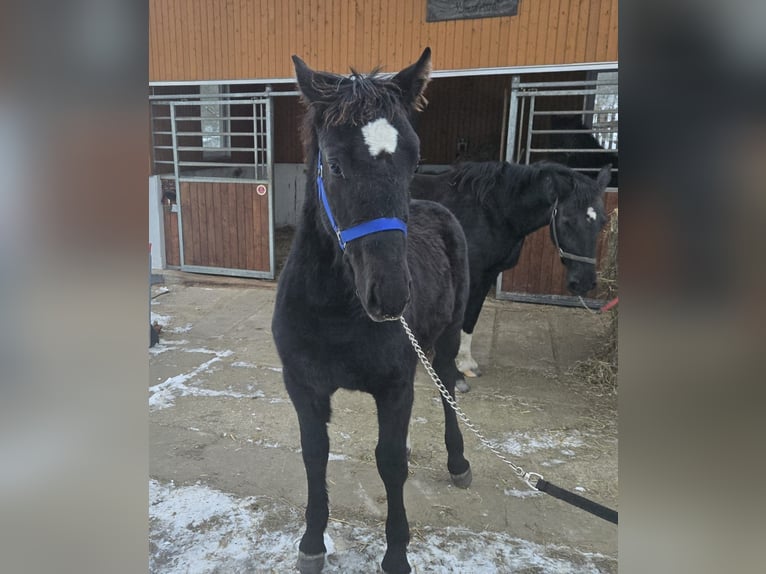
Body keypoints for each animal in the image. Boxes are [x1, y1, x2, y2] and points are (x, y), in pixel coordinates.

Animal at [271, 48, 472, 574]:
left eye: (414, 159)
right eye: (334, 164)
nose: (391, 296)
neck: (337, 313)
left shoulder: (395, 386)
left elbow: (390, 463)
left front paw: (396, 553)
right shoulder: (303, 387)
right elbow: (315, 454)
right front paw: (312, 542)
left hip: (446, 341)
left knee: (447, 388)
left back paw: (459, 462)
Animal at [410, 160, 611, 385]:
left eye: (603, 222)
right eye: (567, 220)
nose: (584, 282)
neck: (491, 213)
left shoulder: (488, 275)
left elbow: (471, 318)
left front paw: (466, 363)